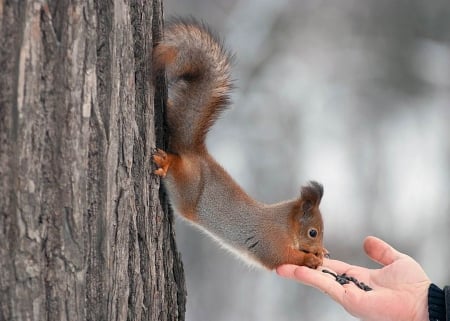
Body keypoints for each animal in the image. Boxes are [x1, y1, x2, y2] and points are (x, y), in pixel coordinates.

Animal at [152, 18, 326, 270]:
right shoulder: (269, 241)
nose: (319, 248)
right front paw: (310, 258)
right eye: (313, 232)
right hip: (188, 186)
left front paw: (321, 253)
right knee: (177, 167)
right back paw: (166, 161)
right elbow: (282, 258)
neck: (285, 225)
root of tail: (194, 153)